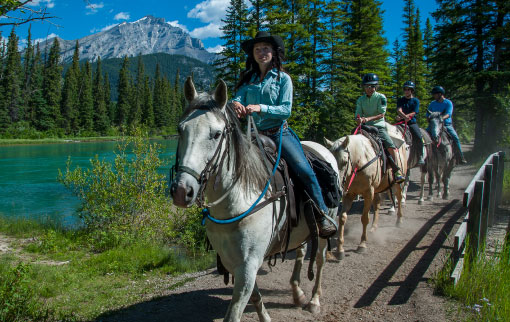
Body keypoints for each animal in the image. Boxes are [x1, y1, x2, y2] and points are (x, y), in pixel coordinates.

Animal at [169, 76, 340, 322]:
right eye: (180, 129)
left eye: (217, 134)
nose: (182, 191)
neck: (237, 203)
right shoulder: (235, 262)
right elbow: (255, 296)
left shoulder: (248, 264)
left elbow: (235, 312)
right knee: (301, 252)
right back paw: (297, 293)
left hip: (326, 228)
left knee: (320, 259)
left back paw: (314, 301)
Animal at [326, 123, 410, 260]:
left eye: (344, 162)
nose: (337, 186)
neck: (360, 161)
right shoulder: (349, 194)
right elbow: (343, 218)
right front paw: (340, 249)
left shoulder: (368, 192)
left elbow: (364, 218)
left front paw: (362, 245)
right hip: (377, 189)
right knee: (377, 204)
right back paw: (374, 228)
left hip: (396, 183)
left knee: (398, 196)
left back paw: (399, 221)